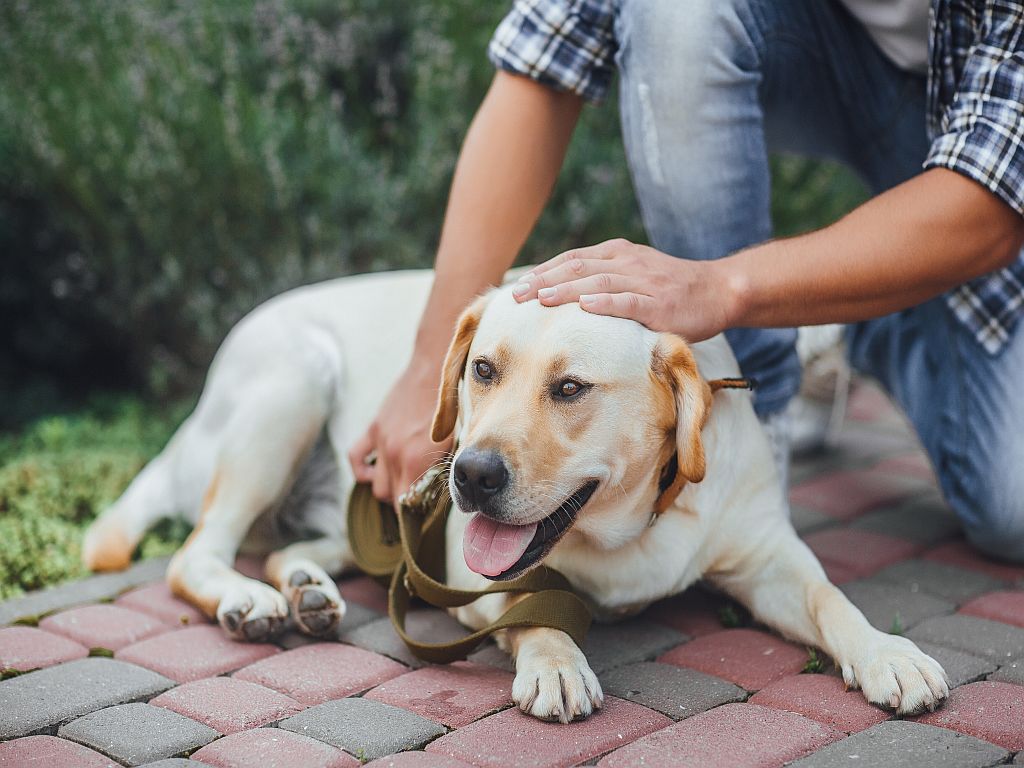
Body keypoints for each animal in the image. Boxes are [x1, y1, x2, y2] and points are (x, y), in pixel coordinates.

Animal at [83, 274, 946, 724]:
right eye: (483, 370)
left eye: (569, 389)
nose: (469, 475)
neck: (625, 532)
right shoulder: (473, 572)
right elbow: (532, 613)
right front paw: (558, 661)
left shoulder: (770, 556)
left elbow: (833, 599)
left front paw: (888, 653)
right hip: (290, 386)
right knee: (197, 553)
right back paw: (251, 600)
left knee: (288, 547)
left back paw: (306, 590)